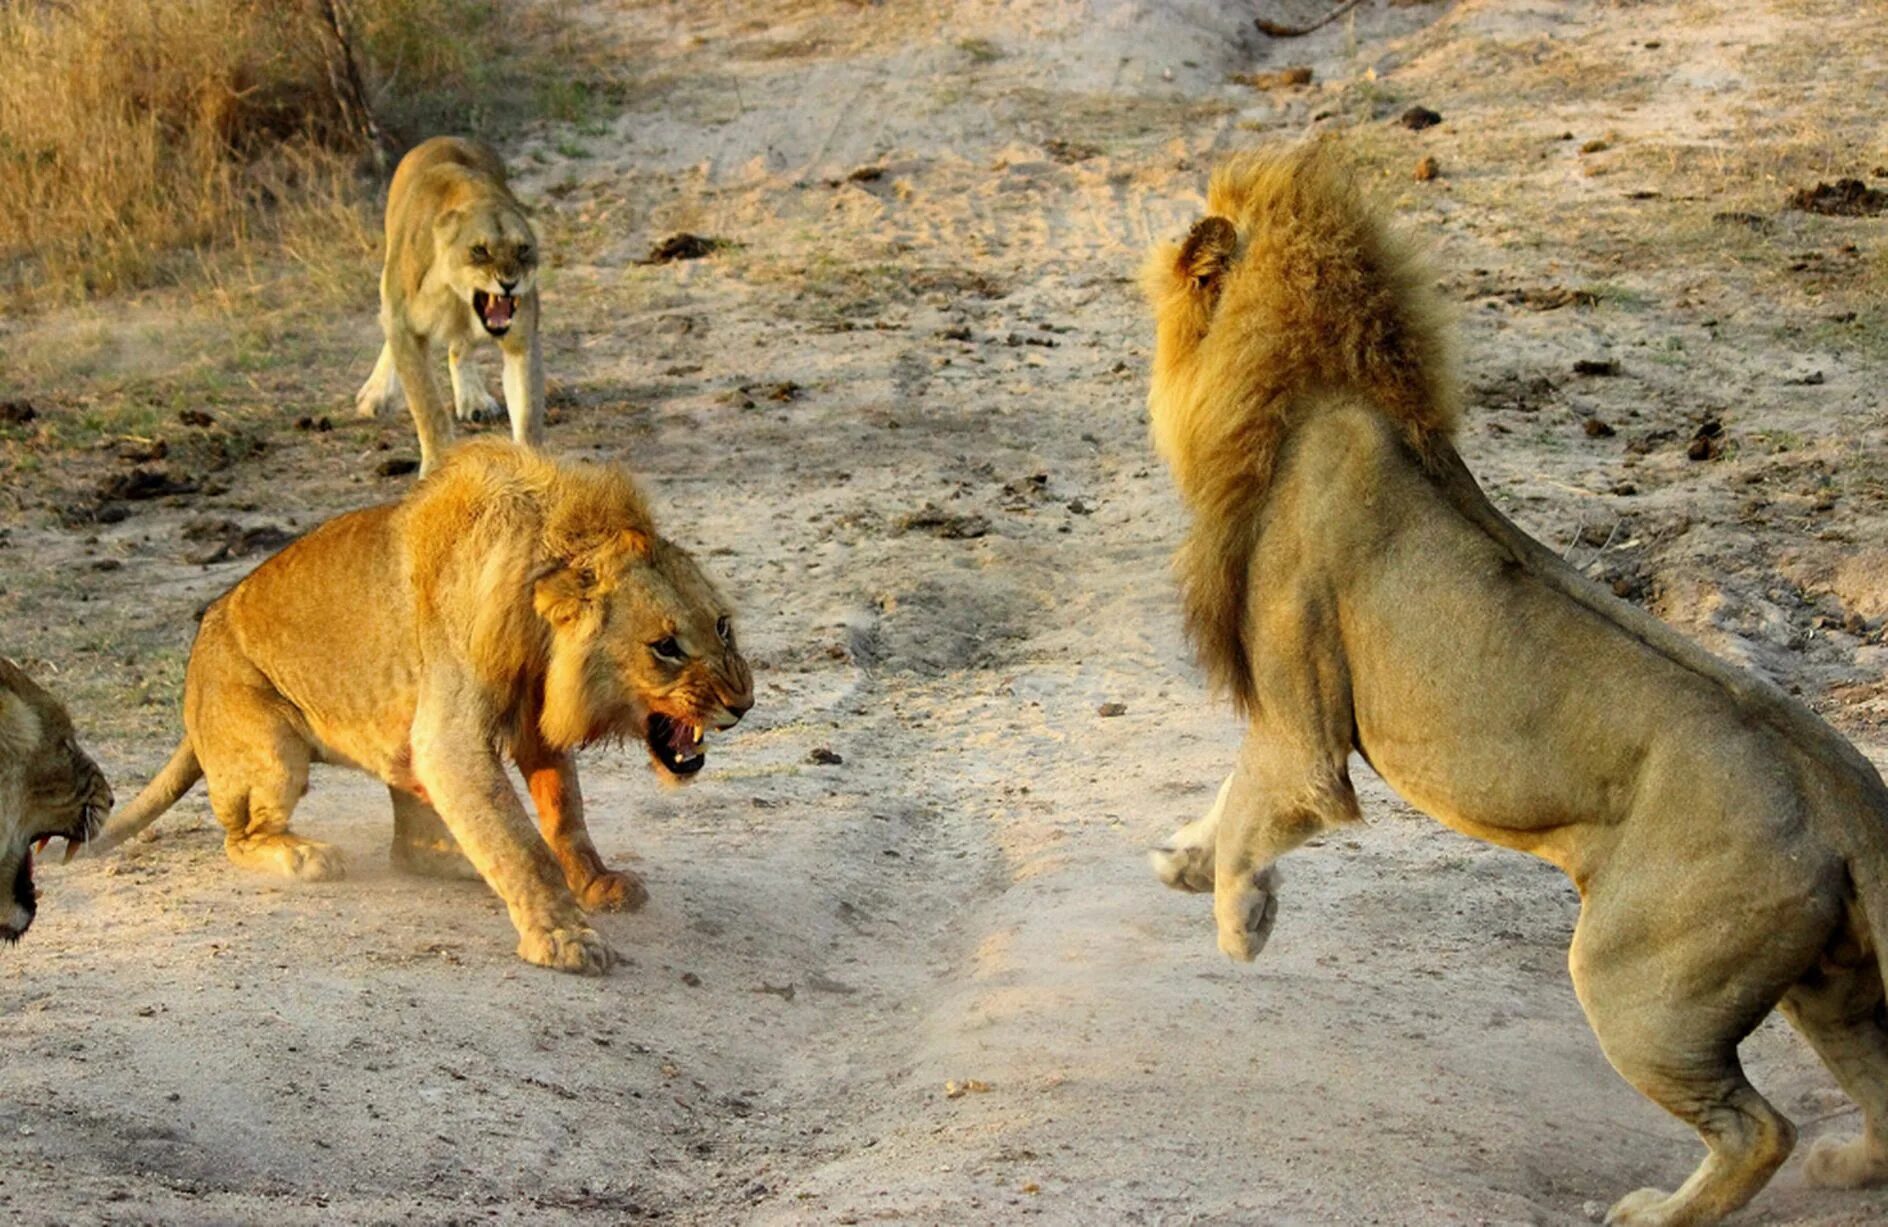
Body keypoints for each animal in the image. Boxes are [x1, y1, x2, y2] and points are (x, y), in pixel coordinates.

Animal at [86, 434, 751, 966]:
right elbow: (522, 845)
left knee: (412, 845)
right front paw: (564, 937)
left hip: (395, 743)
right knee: (241, 837)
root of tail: (201, 639)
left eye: (722, 627)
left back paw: (461, 863)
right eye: (665, 647)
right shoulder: (450, 737)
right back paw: (306, 858)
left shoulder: (534, 720)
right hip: (271, 751)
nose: (742, 703)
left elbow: (564, 816)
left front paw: (594, 883)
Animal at [354, 135, 547, 473]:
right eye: (480, 250)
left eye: (523, 249)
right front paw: (436, 469)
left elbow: (527, 412)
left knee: (460, 347)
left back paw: (474, 400)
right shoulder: (405, 328)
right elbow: (427, 407)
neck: (455, 296)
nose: (509, 282)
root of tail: (445, 137)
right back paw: (374, 395)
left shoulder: (521, 340)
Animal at [1140, 143, 1888, 1223]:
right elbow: (1230, 790)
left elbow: (1260, 796)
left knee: (1759, 1129)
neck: (1317, 391)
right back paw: (1844, 1166)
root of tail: (1850, 793)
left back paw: (1654, 1213)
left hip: (1635, 981)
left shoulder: (1303, 715)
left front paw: (1240, 918)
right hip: (1829, 982)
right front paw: (1185, 861)